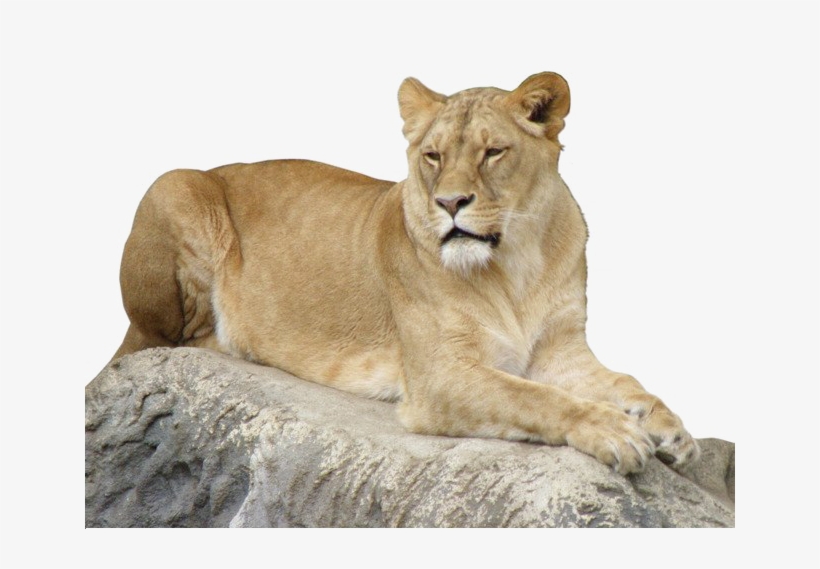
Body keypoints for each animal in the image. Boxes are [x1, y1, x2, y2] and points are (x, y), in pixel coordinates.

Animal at [113, 72, 700, 474]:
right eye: (433, 156)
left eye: (493, 152)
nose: (450, 203)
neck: (517, 260)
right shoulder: (439, 376)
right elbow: (535, 398)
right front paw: (613, 431)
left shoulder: (561, 351)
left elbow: (624, 382)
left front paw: (671, 430)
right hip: (173, 185)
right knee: (168, 339)